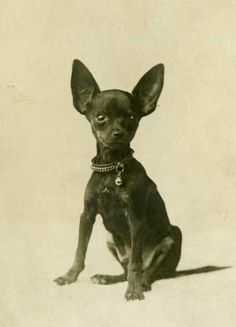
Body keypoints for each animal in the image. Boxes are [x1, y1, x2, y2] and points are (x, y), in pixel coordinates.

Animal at [54, 59, 183, 302]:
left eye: (131, 117)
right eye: (100, 117)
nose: (118, 133)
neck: (111, 168)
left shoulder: (135, 218)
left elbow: (135, 263)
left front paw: (133, 290)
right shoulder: (87, 214)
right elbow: (80, 251)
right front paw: (69, 276)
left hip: (173, 236)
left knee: (146, 269)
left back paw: (142, 283)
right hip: (111, 240)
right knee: (125, 269)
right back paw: (108, 277)